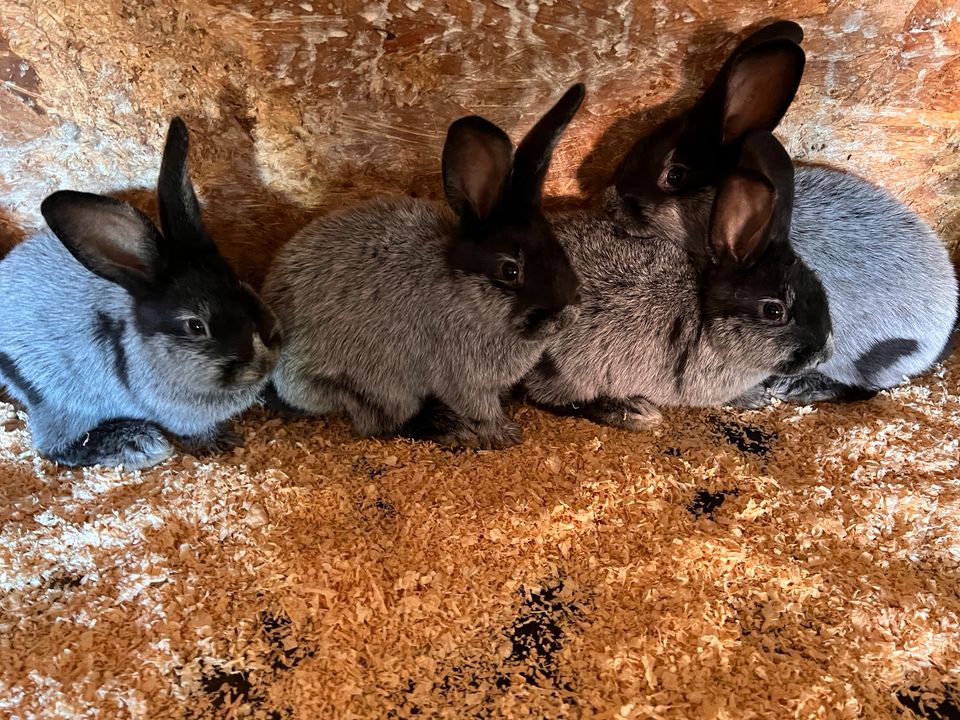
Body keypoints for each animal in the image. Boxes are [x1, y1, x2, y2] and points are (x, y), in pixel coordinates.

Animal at [0, 116, 282, 470]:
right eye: (196, 326)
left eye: (241, 283)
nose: (265, 359)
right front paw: (220, 443)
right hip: (61, 403)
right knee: (54, 446)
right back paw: (141, 443)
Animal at [524, 131, 832, 428]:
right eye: (774, 311)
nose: (823, 354)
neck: (705, 317)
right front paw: (755, 397)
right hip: (569, 370)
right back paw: (635, 412)